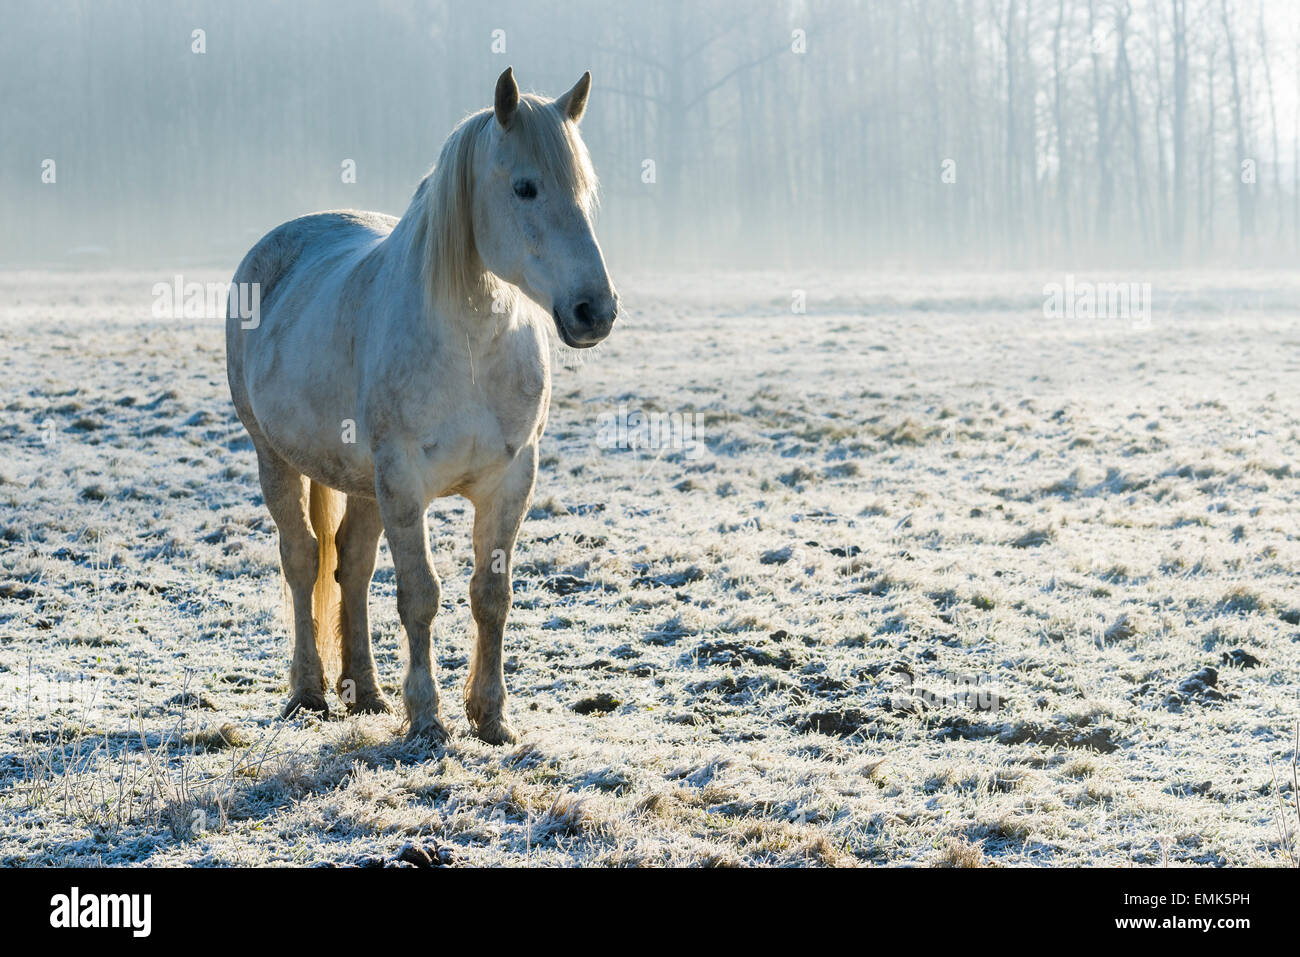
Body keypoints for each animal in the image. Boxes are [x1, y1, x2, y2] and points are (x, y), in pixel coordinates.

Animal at [225, 68, 617, 744]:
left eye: (585, 192)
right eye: (525, 187)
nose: (596, 310)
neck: (471, 348)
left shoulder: (510, 480)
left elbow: (491, 595)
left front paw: (491, 717)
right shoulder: (405, 481)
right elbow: (419, 595)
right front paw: (428, 719)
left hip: (362, 482)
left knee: (351, 564)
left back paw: (366, 694)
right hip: (276, 458)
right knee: (302, 560)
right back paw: (309, 693)